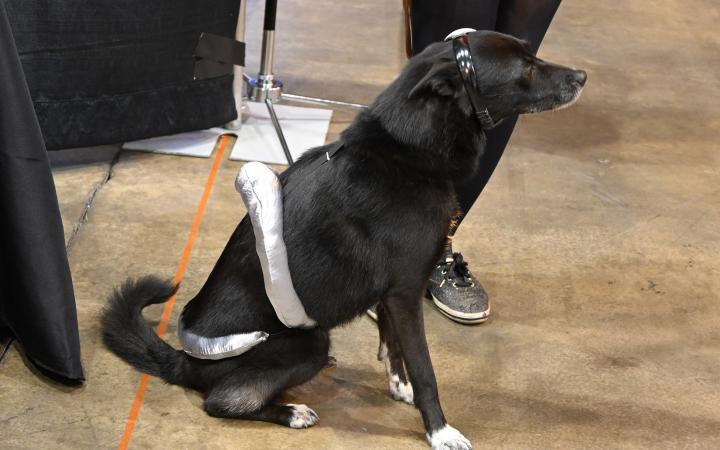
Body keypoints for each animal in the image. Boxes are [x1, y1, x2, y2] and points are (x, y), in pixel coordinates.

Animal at [102, 29, 584, 448]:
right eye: (526, 66)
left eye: (532, 54)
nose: (582, 77)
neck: (407, 150)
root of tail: (182, 361)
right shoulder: (406, 292)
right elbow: (425, 369)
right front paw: (439, 431)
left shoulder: (394, 295)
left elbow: (392, 344)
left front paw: (399, 386)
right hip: (305, 343)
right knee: (223, 400)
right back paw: (291, 412)